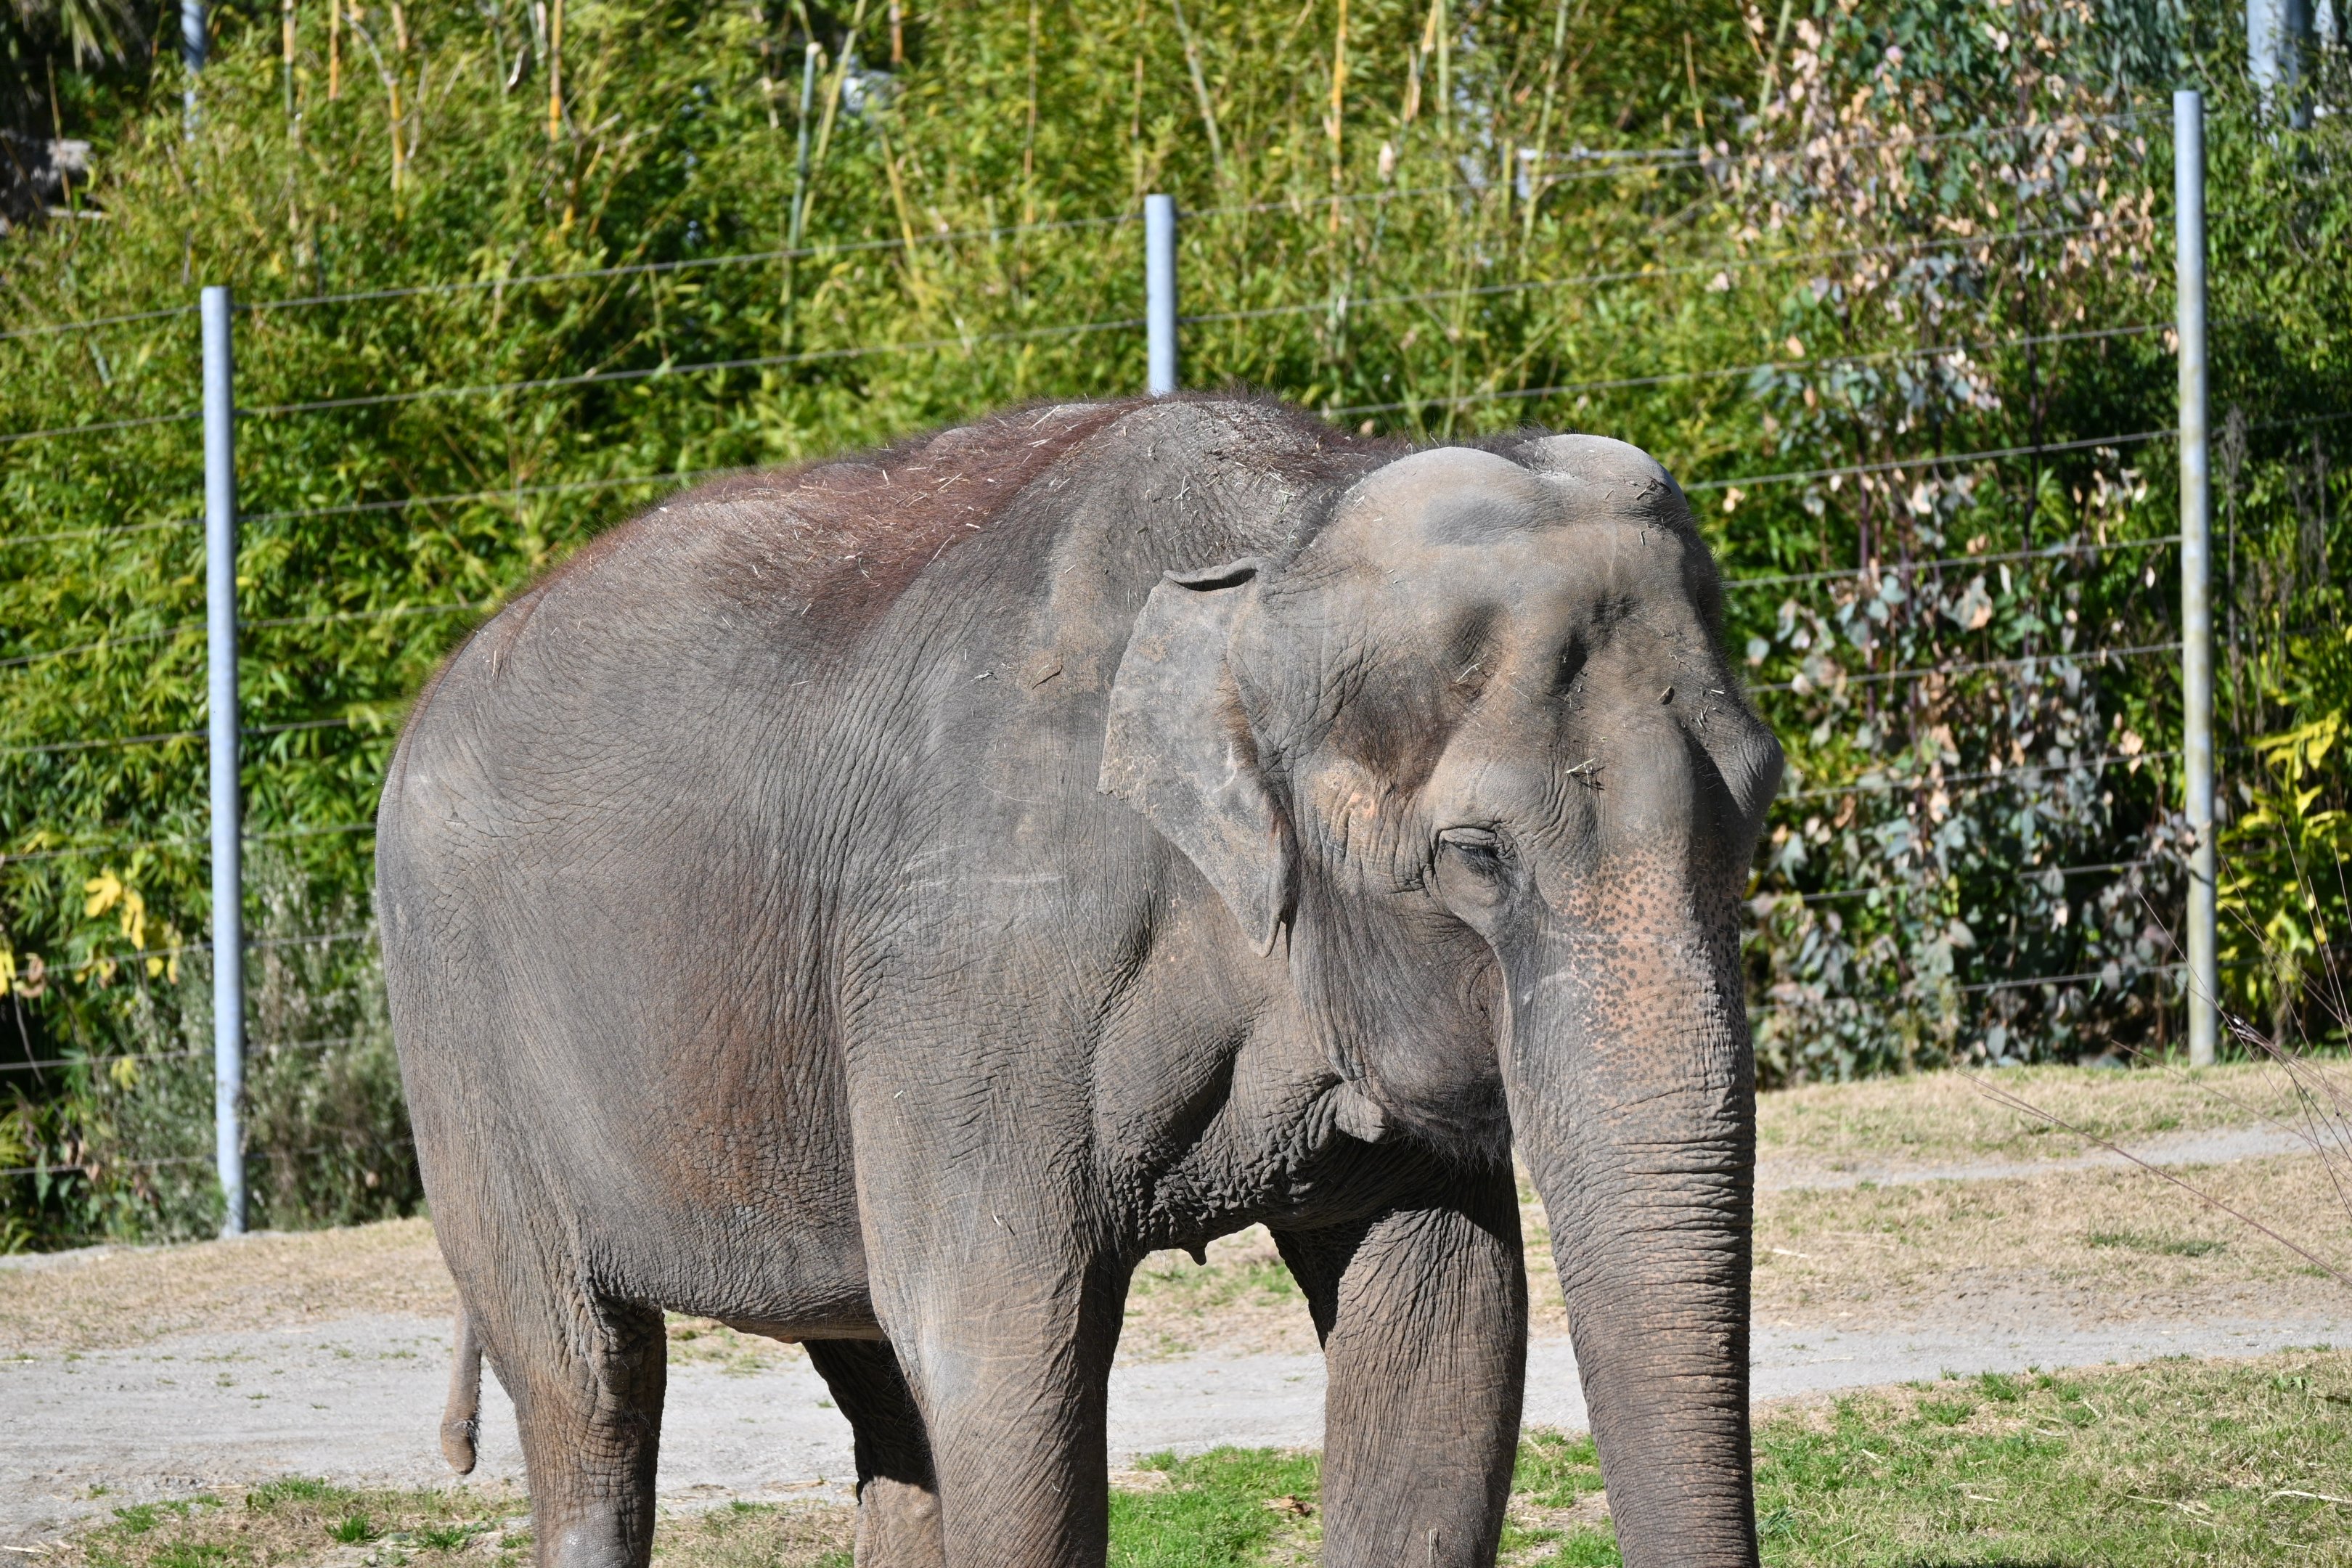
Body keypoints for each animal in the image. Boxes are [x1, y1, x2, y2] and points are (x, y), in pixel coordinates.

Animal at [376, 394, 1783, 1568]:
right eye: (1477, 856)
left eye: (1760, 802)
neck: (1293, 525)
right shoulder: (975, 955)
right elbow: (1001, 1348)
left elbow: (1443, 1326)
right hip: (463, 1046)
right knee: (588, 1382)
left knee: (879, 1391)